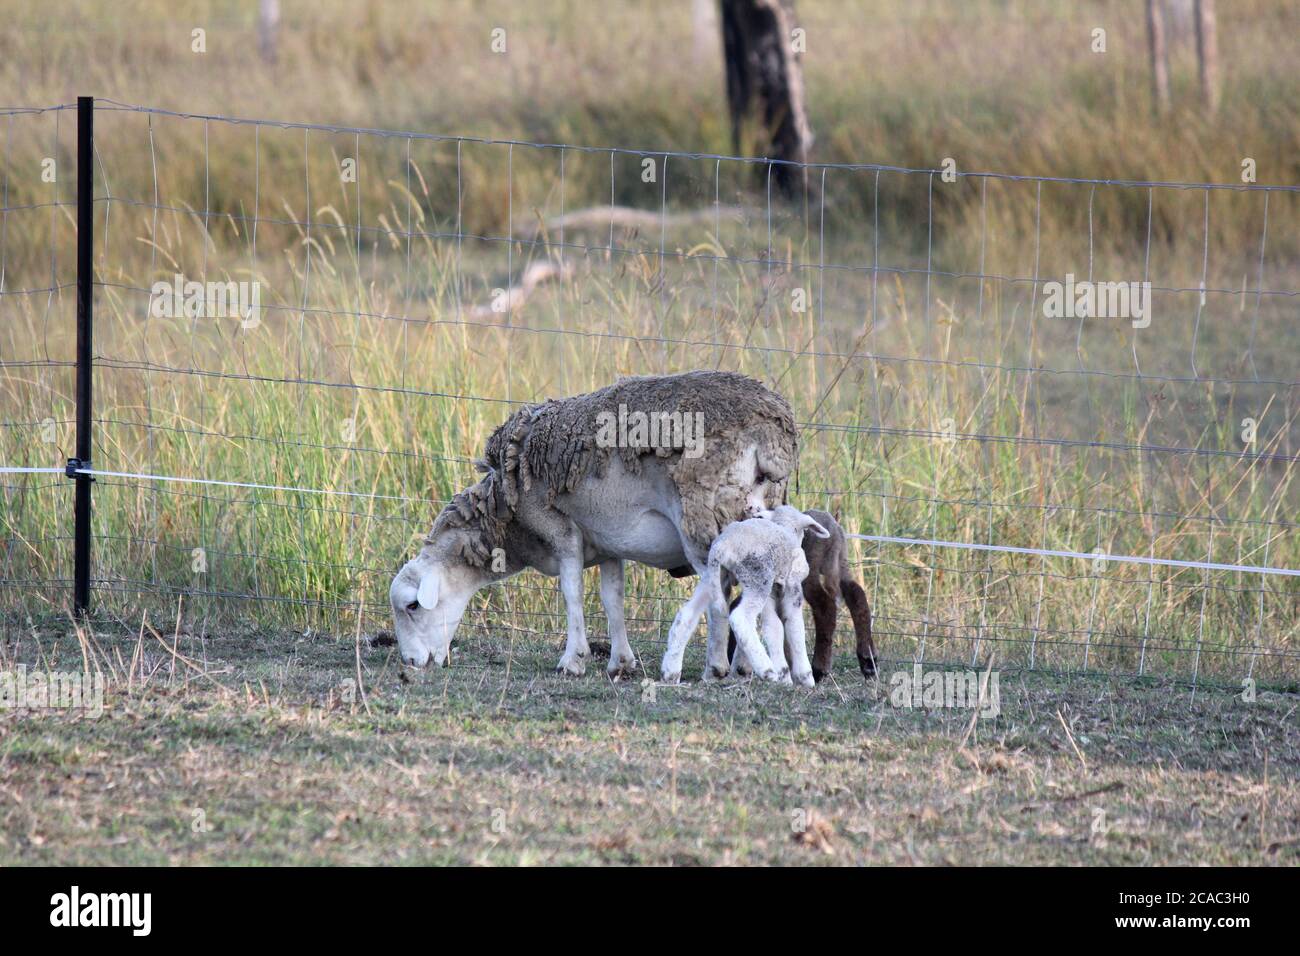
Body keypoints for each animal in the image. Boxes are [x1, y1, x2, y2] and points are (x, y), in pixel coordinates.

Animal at [389, 370, 798, 680]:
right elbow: (612, 598)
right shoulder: (607, 543)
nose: (409, 663)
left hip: (702, 512)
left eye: (412, 607)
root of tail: (771, 431)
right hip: (756, 511)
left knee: (720, 583)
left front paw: (573, 660)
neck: (506, 517)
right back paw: (741, 665)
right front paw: (621, 662)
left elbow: (571, 591)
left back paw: (716, 664)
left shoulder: (560, 529)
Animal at [661, 505, 830, 687]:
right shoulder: (793, 587)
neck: (785, 528)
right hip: (757, 577)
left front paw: (784, 676)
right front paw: (805, 677)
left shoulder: (772, 591)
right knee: (739, 617)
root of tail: (722, 546)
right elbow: (795, 627)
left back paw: (670, 673)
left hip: (715, 578)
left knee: (687, 614)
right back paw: (766, 670)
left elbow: (773, 627)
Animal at [727, 508, 877, 682]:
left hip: (811, 569)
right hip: (840, 561)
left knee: (825, 606)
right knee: (856, 594)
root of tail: (832, 524)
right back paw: (868, 661)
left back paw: (819, 668)